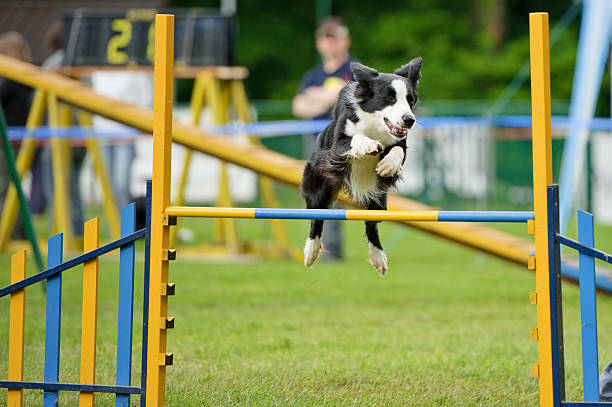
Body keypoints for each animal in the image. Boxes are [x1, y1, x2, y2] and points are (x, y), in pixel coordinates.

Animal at [300, 56, 420, 274]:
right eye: (390, 98)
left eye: (410, 100)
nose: (409, 120)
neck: (375, 125)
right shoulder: (338, 143)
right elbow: (355, 137)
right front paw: (370, 145)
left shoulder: (401, 142)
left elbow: (399, 151)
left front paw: (387, 164)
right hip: (317, 184)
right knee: (316, 217)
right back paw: (311, 252)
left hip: (379, 197)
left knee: (371, 224)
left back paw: (378, 257)